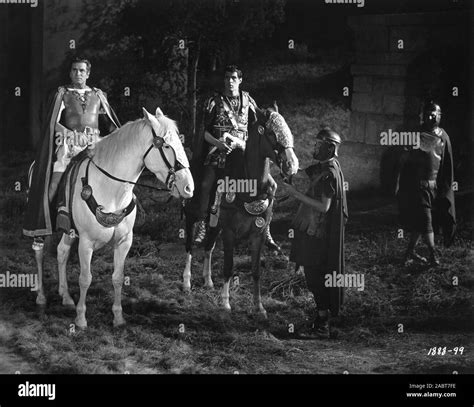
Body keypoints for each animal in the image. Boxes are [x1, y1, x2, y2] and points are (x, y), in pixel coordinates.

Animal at [35, 107, 194, 328]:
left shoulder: (124, 241)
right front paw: (81, 318)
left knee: (61, 252)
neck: (111, 190)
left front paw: (118, 317)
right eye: (167, 145)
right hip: (41, 225)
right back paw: (41, 296)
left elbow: (118, 278)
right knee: (39, 253)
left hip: (70, 230)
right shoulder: (86, 242)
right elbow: (85, 278)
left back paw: (65, 295)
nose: (189, 187)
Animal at [183, 103, 298, 318]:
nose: (291, 165)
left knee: (208, 247)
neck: (250, 186)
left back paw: (208, 281)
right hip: (191, 216)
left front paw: (259, 307)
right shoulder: (229, 232)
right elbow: (228, 267)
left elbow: (256, 270)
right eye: (271, 132)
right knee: (189, 246)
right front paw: (225, 303)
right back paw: (186, 282)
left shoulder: (257, 233)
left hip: (215, 225)